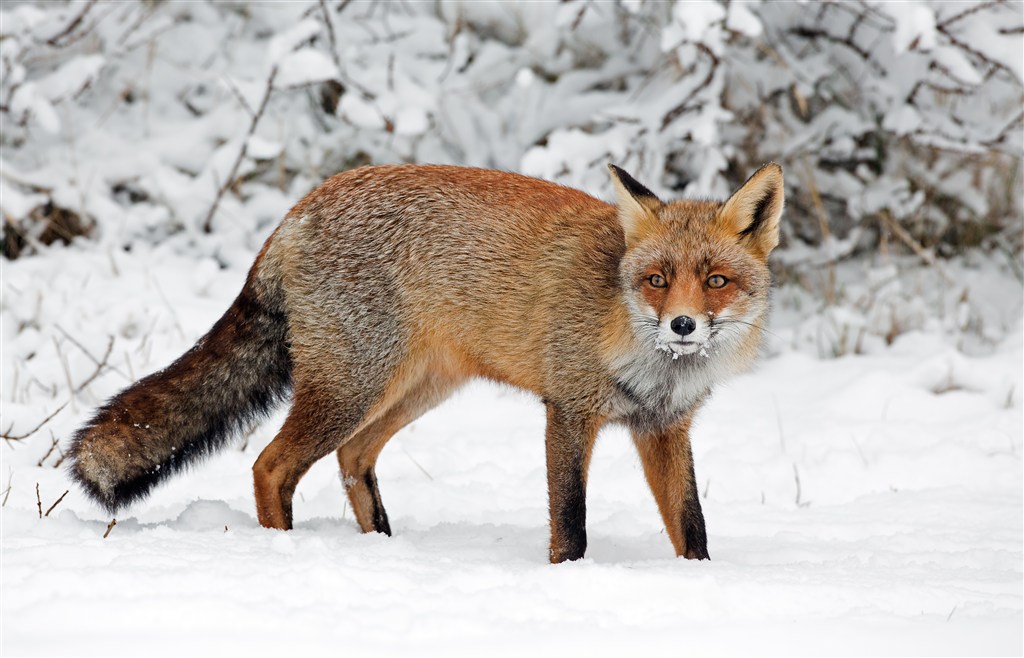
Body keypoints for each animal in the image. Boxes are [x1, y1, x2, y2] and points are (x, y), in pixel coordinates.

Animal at [68, 161, 778, 564]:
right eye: (657, 280)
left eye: (715, 281)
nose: (682, 326)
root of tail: (300, 208)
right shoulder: (569, 411)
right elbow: (569, 526)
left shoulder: (665, 427)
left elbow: (692, 527)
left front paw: (698, 586)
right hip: (353, 386)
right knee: (271, 465)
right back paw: (284, 552)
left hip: (415, 389)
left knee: (353, 457)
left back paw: (382, 548)